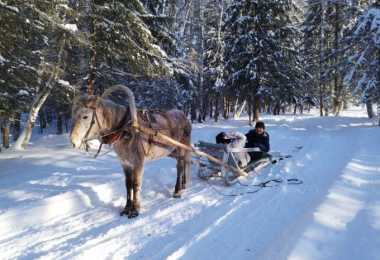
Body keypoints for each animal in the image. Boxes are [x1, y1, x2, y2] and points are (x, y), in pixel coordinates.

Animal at [70, 85, 191, 217]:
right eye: (73, 115)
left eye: (85, 116)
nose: (73, 142)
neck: (124, 130)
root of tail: (184, 116)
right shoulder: (125, 163)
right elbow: (128, 185)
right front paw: (127, 208)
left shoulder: (138, 162)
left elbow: (136, 184)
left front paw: (135, 209)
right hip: (172, 151)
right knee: (185, 163)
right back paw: (184, 184)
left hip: (181, 148)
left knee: (180, 167)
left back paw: (177, 191)